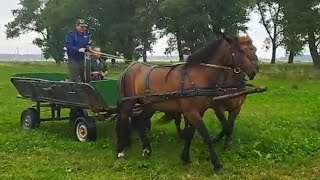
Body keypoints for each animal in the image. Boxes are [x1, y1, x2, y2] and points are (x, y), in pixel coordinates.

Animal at [116, 33, 258, 172]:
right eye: (241, 50)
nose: (254, 70)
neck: (198, 76)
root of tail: (130, 67)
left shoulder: (198, 112)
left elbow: (190, 134)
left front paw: (185, 158)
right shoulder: (192, 112)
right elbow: (206, 135)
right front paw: (217, 164)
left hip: (148, 105)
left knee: (139, 121)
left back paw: (146, 149)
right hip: (129, 102)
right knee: (124, 119)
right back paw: (121, 151)